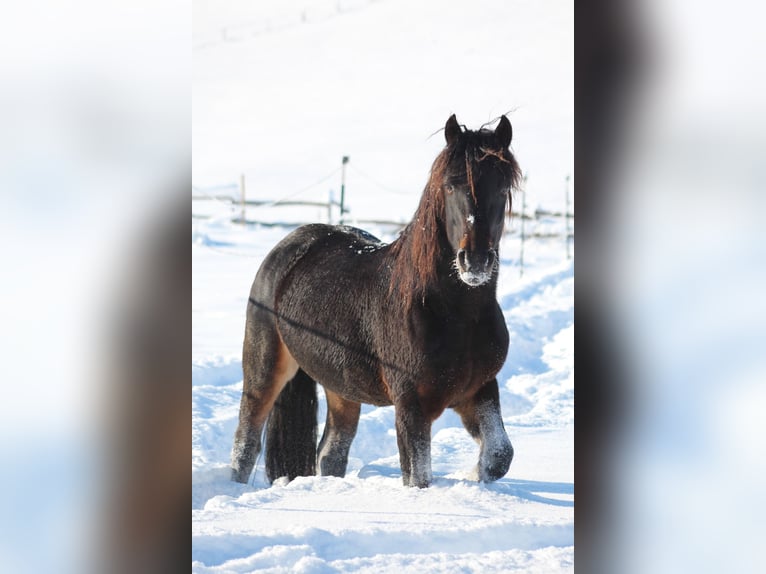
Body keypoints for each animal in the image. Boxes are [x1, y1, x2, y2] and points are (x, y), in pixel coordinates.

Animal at [231, 114, 522, 488]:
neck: (454, 314)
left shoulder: (480, 389)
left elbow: (499, 455)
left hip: (341, 388)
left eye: (502, 188)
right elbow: (419, 477)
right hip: (264, 369)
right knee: (246, 444)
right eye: (450, 186)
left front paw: (472, 477)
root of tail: (288, 246)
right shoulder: (411, 405)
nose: (475, 261)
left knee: (330, 453)